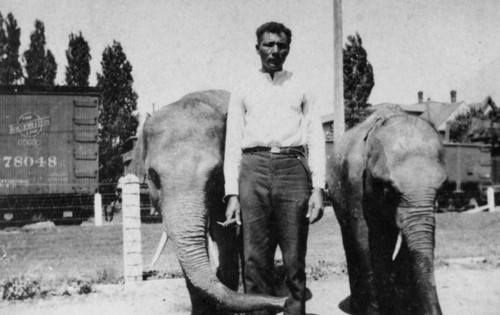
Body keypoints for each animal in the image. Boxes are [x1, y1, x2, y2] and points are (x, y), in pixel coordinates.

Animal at [326, 107, 448, 315]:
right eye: (389, 189)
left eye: (440, 189)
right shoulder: (354, 181)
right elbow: (363, 237)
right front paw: (374, 310)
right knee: (350, 238)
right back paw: (356, 306)